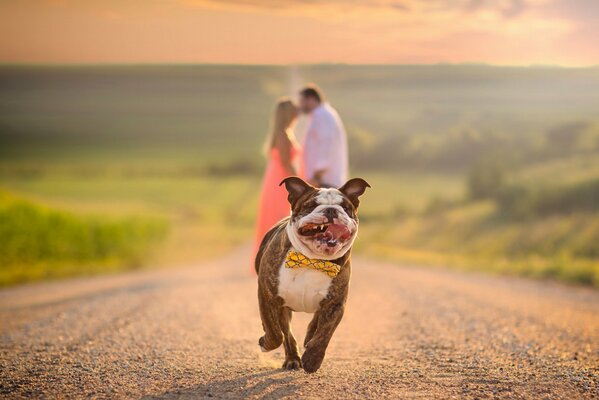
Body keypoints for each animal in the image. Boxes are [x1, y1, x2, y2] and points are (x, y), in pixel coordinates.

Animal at [254, 177, 368, 374]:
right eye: (312, 205)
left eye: (345, 207)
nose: (331, 210)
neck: (312, 259)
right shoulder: (268, 296)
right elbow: (274, 332)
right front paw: (265, 342)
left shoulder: (335, 304)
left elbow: (324, 334)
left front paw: (312, 359)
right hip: (283, 309)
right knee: (286, 334)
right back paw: (292, 359)